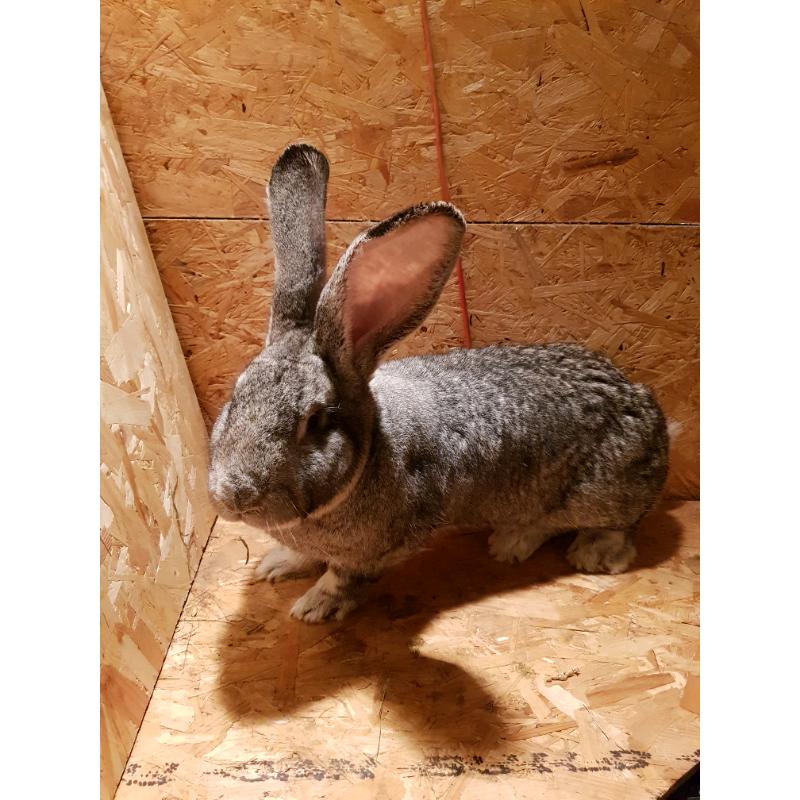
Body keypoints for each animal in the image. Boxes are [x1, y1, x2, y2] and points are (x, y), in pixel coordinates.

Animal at [208, 143, 669, 624]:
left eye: (316, 420)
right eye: (235, 397)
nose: (233, 494)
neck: (373, 452)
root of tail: (648, 411)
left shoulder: (374, 551)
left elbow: (344, 578)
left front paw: (314, 607)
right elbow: (306, 556)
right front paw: (277, 564)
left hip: (601, 495)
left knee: (620, 527)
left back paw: (580, 551)